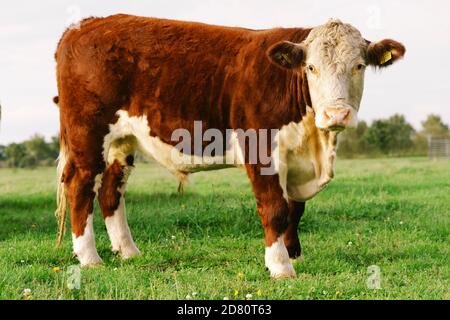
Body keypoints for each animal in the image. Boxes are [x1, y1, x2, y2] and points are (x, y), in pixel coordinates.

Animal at [54, 15, 406, 278]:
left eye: (359, 66)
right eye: (311, 68)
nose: (336, 114)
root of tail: (83, 25)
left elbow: (295, 209)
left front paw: (294, 254)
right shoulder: (261, 149)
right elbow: (275, 209)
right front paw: (280, 266)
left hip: (122, 142)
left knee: (111, 191)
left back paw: (128, 252)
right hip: (88, 135)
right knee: (80, 187)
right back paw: (89, 258)